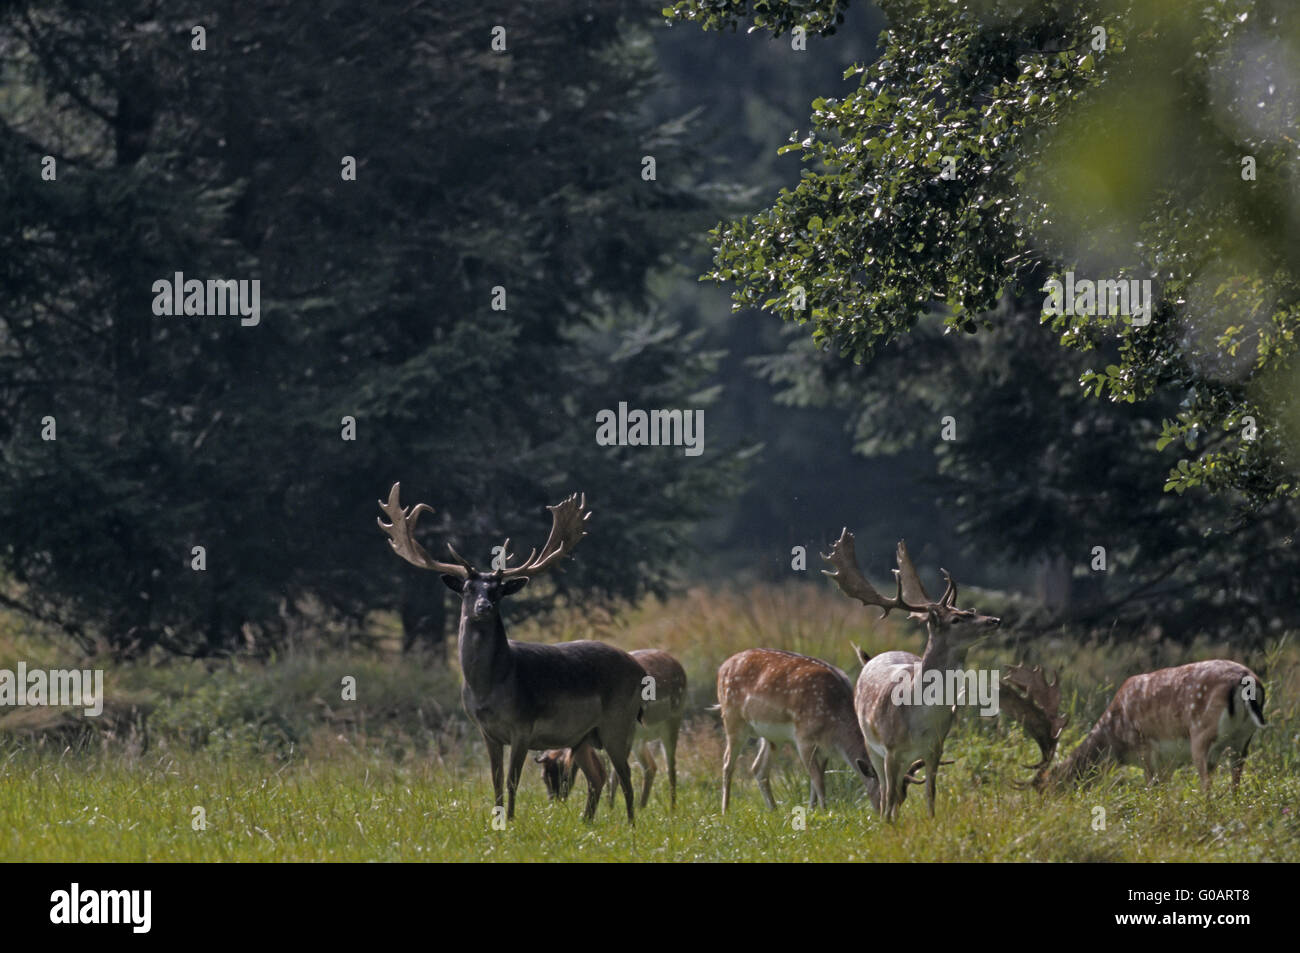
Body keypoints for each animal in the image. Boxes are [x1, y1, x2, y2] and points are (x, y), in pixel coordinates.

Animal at [379, 483, 647, 816]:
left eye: (498, 591)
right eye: (467, 589)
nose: (483, 607)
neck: (488, 688)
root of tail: (639, 669)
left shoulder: (523, 726)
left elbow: (511, 781)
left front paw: (509, 820)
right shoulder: (486, 731)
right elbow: (495, 781)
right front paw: (495, 817)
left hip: (619, 721)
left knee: (626, 777)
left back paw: (631, 824)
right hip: (583, 736)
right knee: (597, 776)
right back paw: (587, 821)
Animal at [712, 650, 883, 816]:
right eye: (883, 794)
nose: (884, 817)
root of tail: (721, 668)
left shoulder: (824, 749)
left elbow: (817, 778)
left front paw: (812, 810)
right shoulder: (803, 738)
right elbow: (818, 780)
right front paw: (824, 812)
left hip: (773, 738)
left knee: (758, 768)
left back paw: (774, 811)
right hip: (733, 719)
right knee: (727, 763)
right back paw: (726, 811)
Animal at [821, 530, 1003, 821]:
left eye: (968, 612)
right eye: (956, 619)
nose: (994, 620)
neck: (921, 719)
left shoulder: (936, 747)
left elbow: (930, 793)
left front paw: (931, 823)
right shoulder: (891, 749)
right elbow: (888, 795)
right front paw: (888, 827)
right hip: (872, 744)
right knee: (886, 789)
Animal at [998, 657, 1263, 790]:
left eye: (1046, 790)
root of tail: (1247, 680)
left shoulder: (1146, 748)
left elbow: (1152, 791)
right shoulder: (1168, 763)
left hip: (1201, 735)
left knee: (1207, 784)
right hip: (1243, 741)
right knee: (1235, 782)